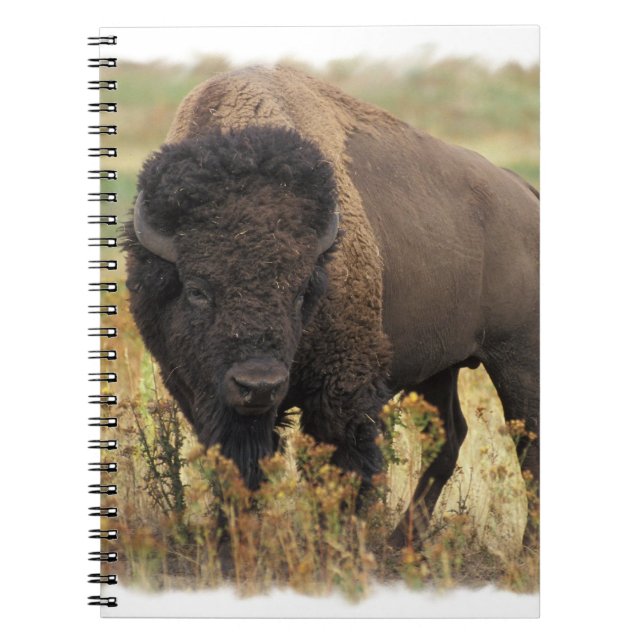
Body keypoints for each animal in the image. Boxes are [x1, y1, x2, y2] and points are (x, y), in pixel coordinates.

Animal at [124, 66, 539, 539]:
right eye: (196, 289)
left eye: (302, 289)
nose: (259, 385)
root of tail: (524, 192)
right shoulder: (201, 393)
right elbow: (239, 469)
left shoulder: (343, 388)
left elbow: (342, 467)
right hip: (440, 366)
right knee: (450, 437)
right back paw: (403, 542)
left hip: (517, 359)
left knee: (528, 450)